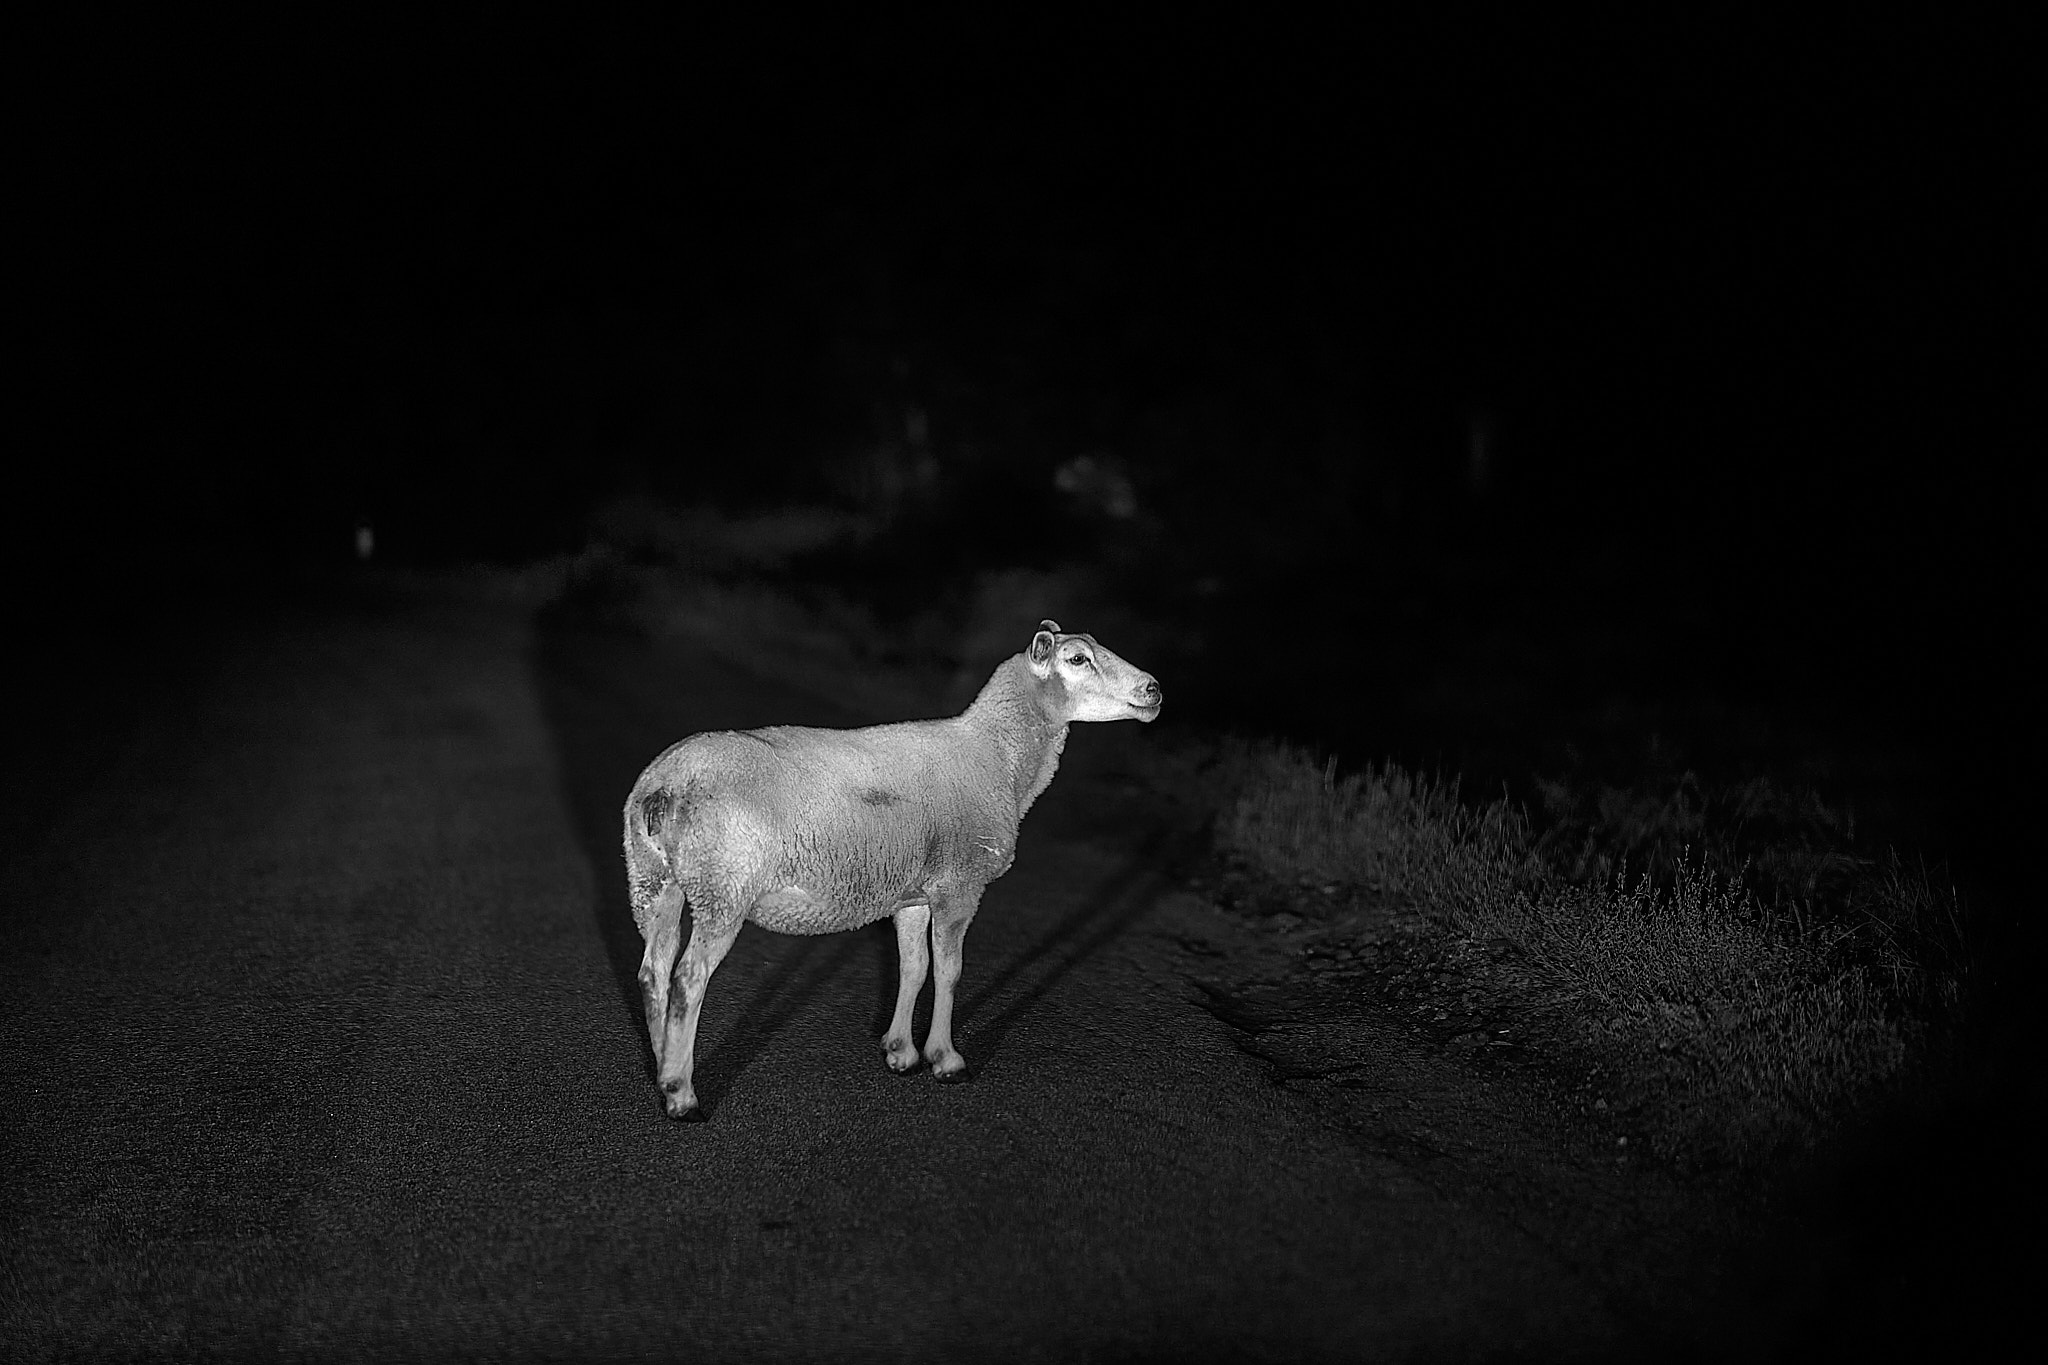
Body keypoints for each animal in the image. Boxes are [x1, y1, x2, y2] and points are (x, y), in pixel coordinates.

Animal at [621, 619, 1163, 1120]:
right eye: (1077, 659)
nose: (1154, 689)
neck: (996, 756)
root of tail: (663, 787)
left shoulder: (914, 895)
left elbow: (913, 966)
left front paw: (901, 1051)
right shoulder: (958, 886)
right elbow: (948, 970)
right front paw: (946, 1059)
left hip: (654, 879)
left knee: (654, 971)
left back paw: (663, 1065)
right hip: (723, 889)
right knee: (688, 980)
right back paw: (682, 1094)